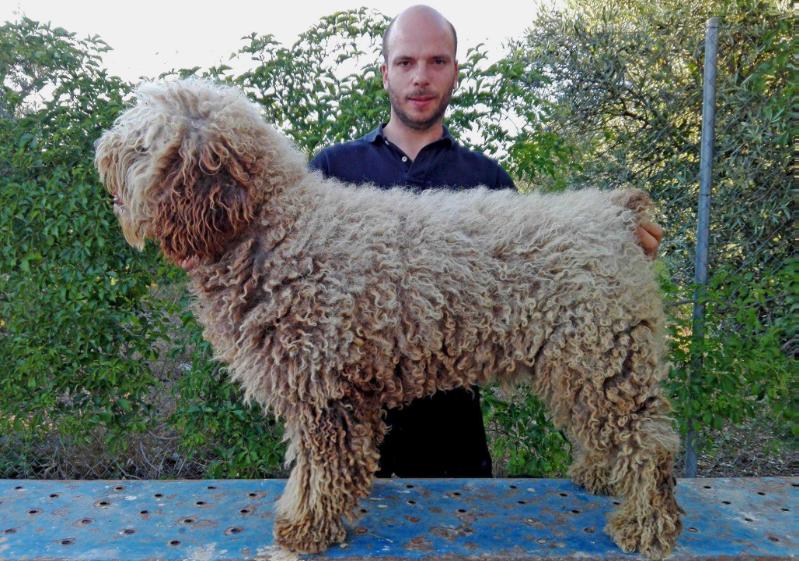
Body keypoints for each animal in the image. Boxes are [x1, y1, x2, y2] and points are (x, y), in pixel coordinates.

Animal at [94, 81, 680, 556]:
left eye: (144, 143)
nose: (102, 152)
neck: (278, 228)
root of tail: (614, 214)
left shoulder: (323, 388)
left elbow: (321, 467)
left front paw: (305, 527)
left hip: (604, 354)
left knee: (649, 443)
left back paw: (646, 525)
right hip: (583, 363)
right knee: (608, 431)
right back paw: (598, 475)